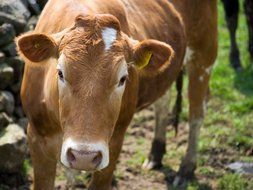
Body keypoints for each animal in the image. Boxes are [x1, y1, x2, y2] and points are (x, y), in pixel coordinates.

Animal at [15, 0, 217, 189]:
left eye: (122, 78)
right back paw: (156, 154)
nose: (83, 156)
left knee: (196, 114)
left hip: (203, 55)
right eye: (60, 73)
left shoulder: (115, 140)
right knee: (162, 103)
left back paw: (186, 168)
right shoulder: (37, 136)